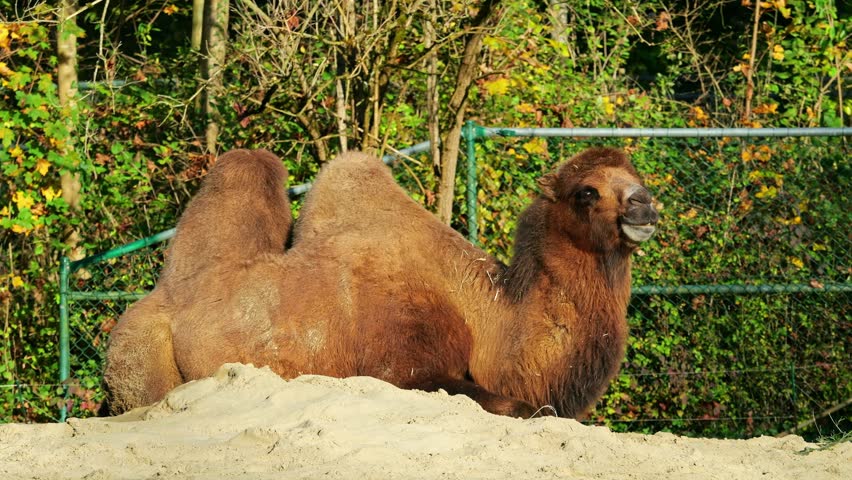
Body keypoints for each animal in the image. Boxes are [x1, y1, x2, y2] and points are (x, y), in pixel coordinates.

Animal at [103, 146, 659, 418]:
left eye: (638, 179)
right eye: (586, 192)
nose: (644, 205)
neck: (492, 320)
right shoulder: (403, 365)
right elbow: (526, 408)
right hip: (140, 362)